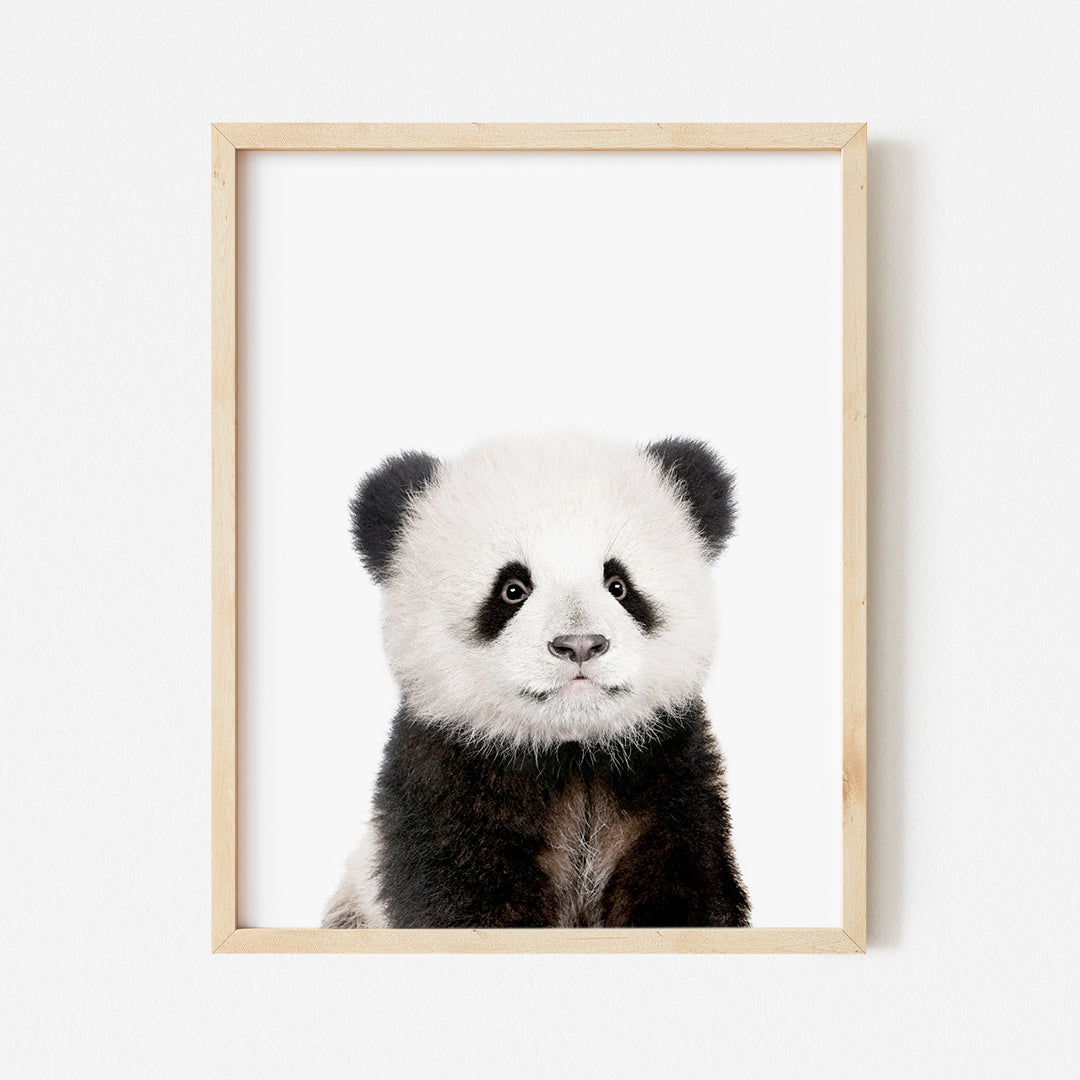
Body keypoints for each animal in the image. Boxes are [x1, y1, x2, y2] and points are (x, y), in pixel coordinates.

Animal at [321, 429, 751, 928]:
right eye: (513, 589)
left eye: (619, 585)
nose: (580, 645)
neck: (571, 751)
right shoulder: (446, 778)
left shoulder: (667, 772)